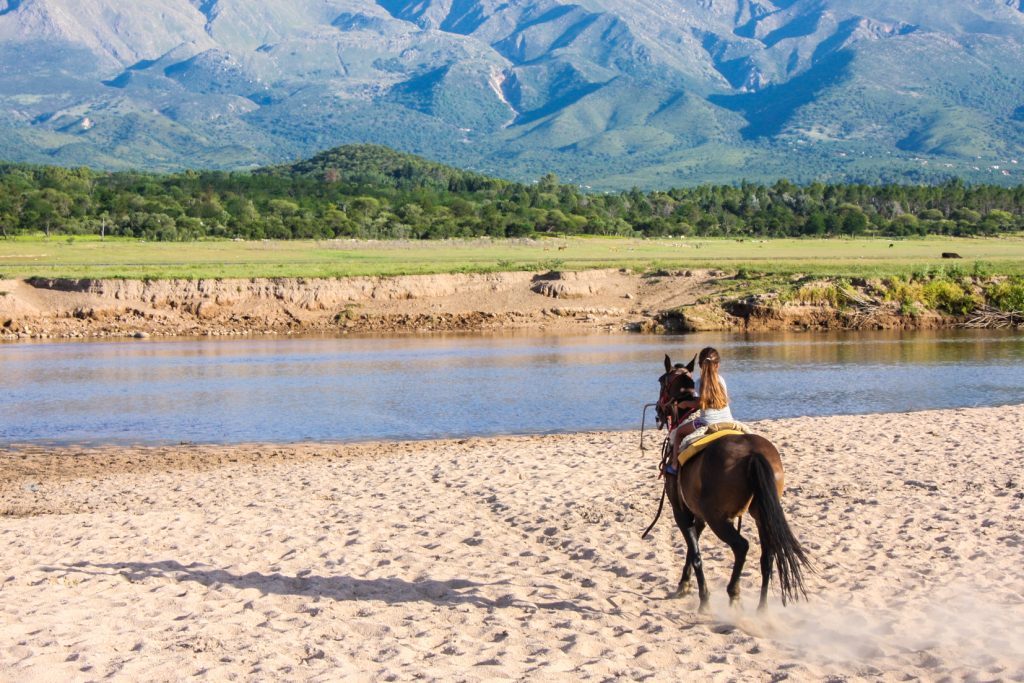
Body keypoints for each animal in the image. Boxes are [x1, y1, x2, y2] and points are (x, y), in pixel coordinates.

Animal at [653, 354, 810, 611]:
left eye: (660, 381)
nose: (657, 410)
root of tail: (752, 454)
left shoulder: (682, 511)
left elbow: (695, 553)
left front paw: (703, 598)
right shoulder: (701, 515)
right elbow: (692, 549)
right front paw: (684, 585)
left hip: (719, 518)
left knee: (741, 546)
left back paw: (733, 593)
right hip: (761, 514)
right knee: (767, 556)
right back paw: (761, 609)